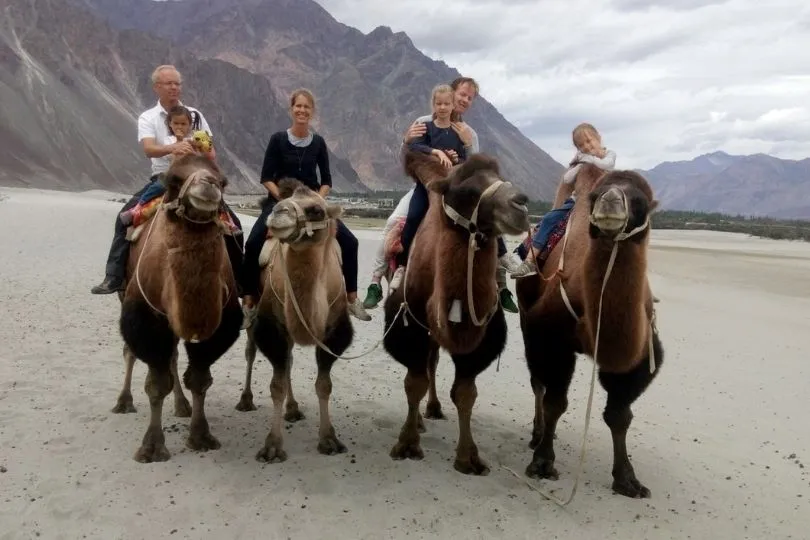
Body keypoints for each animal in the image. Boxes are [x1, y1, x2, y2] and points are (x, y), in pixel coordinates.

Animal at [118, 154, 241, 462]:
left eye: (222, 181)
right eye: (174, 179)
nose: (208, 185)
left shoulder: (220, 325)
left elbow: (199, 378)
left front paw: (201, 435)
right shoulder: (145, 318)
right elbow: (156, 383)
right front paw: (151, 447)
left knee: (172, 355)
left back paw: (182, 406)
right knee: (130, 352)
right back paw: (123, 402)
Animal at [240, 179, 354, 462]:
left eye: (317, 210)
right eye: (284, 201)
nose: (278, 213)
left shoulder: (334, 332)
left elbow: (324, 385)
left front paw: (329, 439)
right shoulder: (271, 327)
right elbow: (276, 385)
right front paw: (272, 446)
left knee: (289, 359)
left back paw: (292, 409)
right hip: (254, 313)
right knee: (251, 352)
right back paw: (246, 400)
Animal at [380, 150, 528, 474]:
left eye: (502, 177)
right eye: (465, 191)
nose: (520, 204)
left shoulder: (482, 337)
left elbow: (465, 393)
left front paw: (468, 457)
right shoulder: (408, 326)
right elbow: (414, 382)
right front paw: (407, 443)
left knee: (433, 362)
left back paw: (433, 409)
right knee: (427, 366)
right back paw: (421, 420)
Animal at [512, 163, 664, 498]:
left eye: (641, 202)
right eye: (596, 195)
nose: (609, 202)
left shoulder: (640, 354)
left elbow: (619, 415)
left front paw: (627, 479)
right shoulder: (550, 337)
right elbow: (555, 402)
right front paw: (542, 463)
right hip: (527, 318)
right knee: (537, 383)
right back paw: (538, 433)